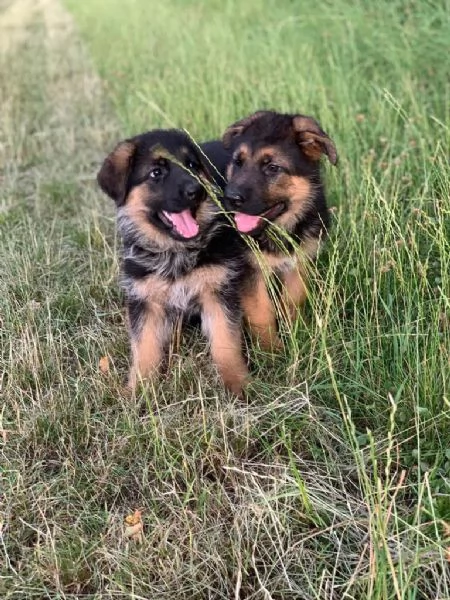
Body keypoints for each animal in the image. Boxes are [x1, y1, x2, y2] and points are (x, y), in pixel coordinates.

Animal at [97, 129, 250, 396]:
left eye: (192, 165)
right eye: (156, 172)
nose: (196, 191)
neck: (175, 252)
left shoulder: (219, 291)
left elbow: (225, 342)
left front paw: (238, 383)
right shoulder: (145, 299)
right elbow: (145, 347)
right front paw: (140, 390)